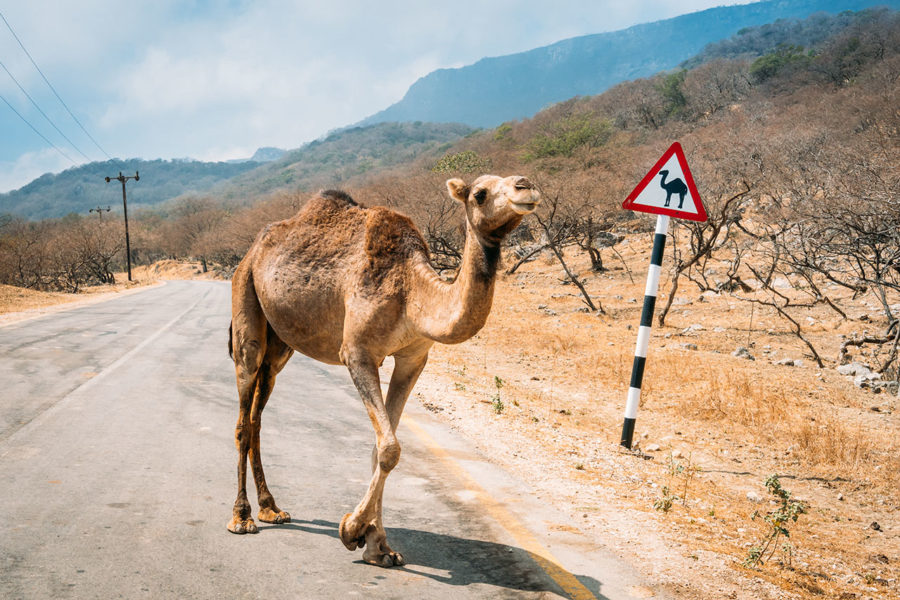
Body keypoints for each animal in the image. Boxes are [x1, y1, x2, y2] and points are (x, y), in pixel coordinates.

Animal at [229, 173, 536, 568]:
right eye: (480, 194)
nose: (525, 186)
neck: (411, 293)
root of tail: (252, 251)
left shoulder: (413, 358)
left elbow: (381, 448)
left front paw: (378, 546)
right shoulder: (358, 353)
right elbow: (389, 447)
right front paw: (350, 530)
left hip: (280, 343)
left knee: (257, 413)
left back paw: (271, 508)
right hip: (246, 300)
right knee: (243, 415)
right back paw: (242, 517)